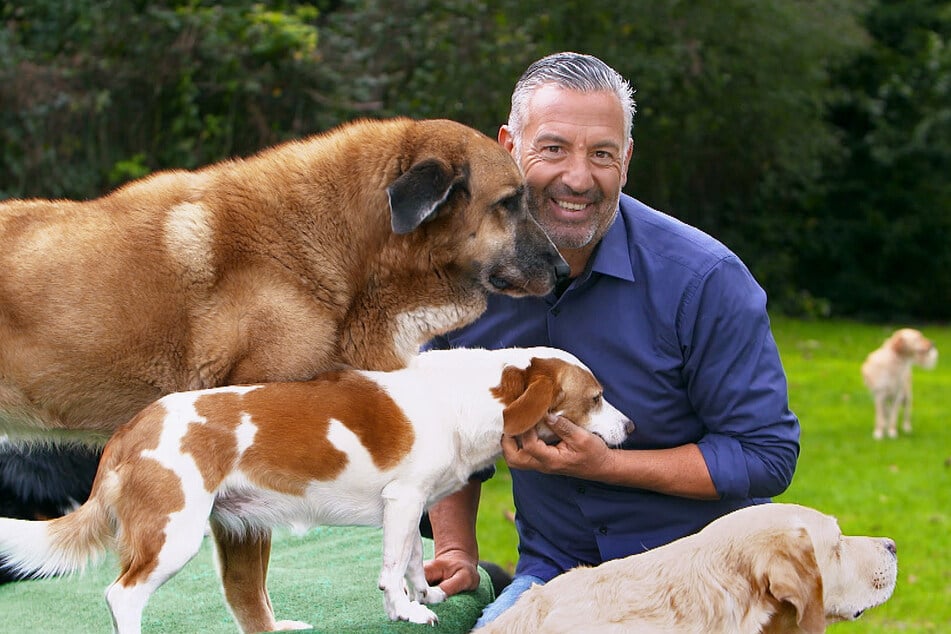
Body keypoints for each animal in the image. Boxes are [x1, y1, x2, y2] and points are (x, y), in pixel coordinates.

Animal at [1, 346, 640, 632]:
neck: (469, 398)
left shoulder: (409, 508)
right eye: (596, 398)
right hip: (173, 535)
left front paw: (427, 596)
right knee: (122, 596)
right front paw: (404, 612)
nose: (632, 429)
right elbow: (390, 571)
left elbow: (412, 562)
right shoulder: (403, 501)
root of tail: (131, 429)